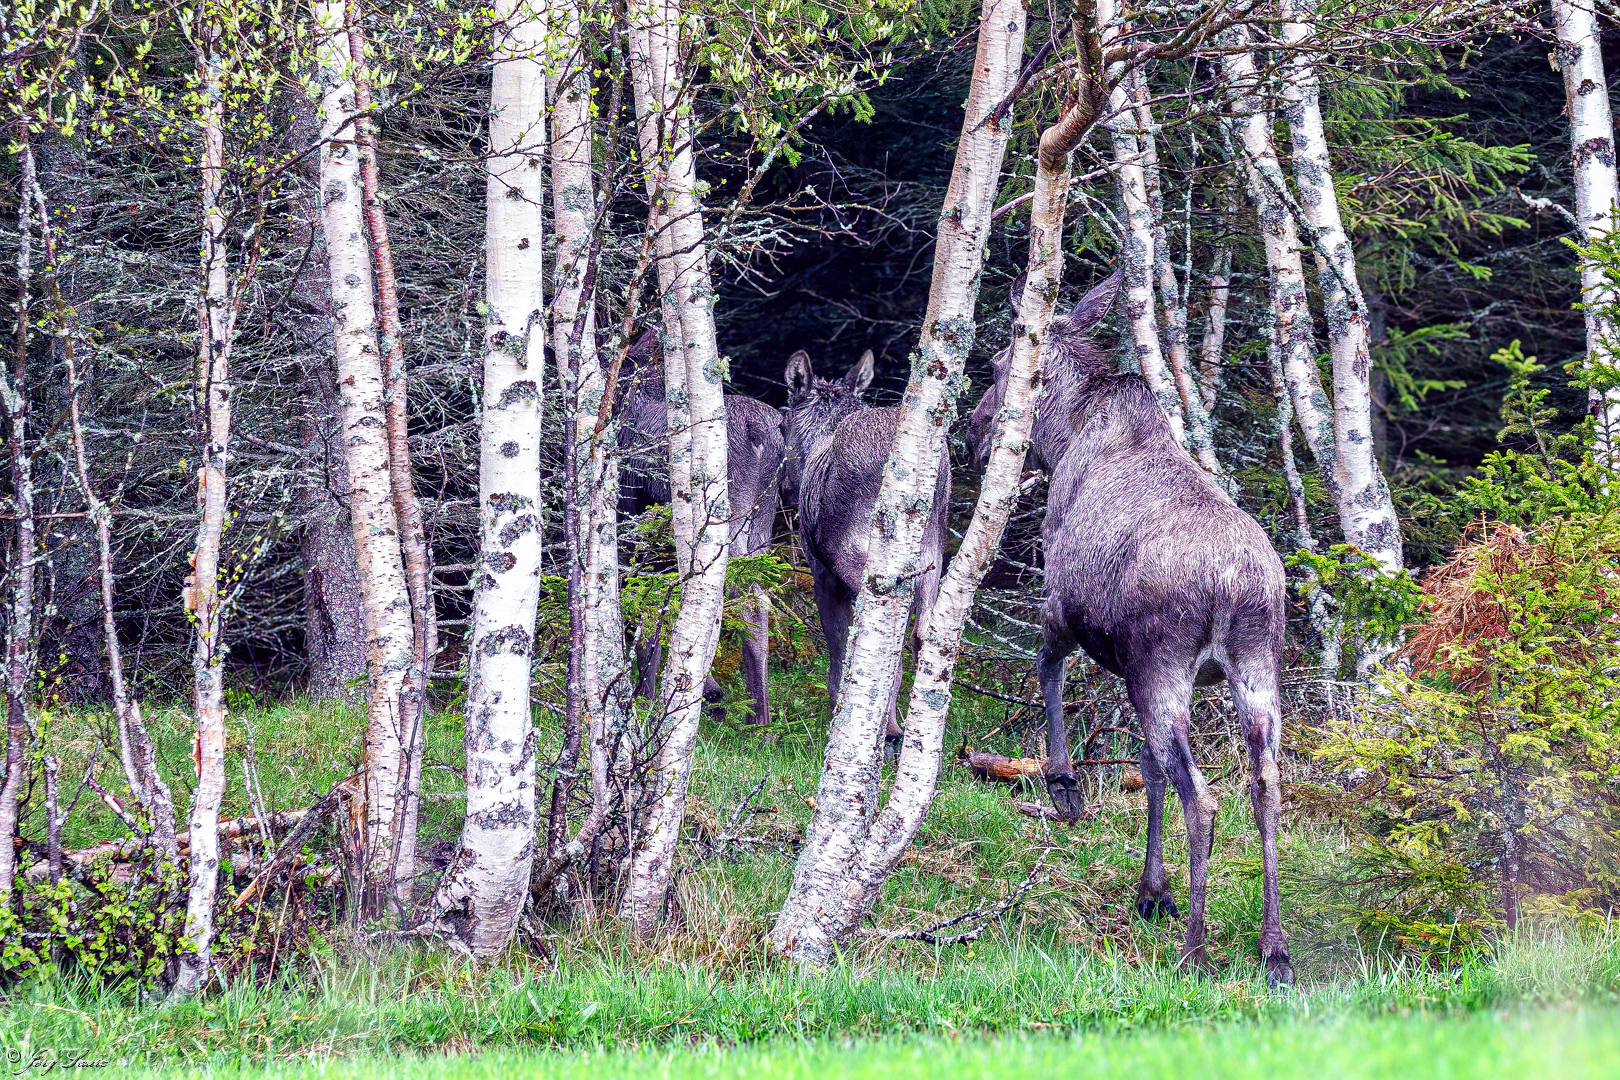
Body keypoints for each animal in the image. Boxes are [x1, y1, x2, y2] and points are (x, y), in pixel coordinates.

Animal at [616, 329, 785, 725]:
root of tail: (759, 433)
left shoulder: (632, 529)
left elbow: (649, 614)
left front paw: (646, 698)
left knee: (742, 602)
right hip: (759, 525)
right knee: (759, 600)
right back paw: (761, 716)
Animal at [782, 348, 948, 754]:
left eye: (782, 425)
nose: (784, 488)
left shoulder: (823, 572)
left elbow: (839, 649)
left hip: (866, 562)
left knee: (886, 645)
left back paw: (884, 731)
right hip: (933, 558)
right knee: (923, 637)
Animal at [965, 271, 1294, 988]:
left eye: (1000, 366)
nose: (973, 433)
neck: (1063, 435)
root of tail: (1233, 583)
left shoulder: (1062, 604)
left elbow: (1047, 673)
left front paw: (1064, 786)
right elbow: (1145, 767)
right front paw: (1152, 889)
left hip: (1161, 665)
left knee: (1204, 798)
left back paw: (1196, 951)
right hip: (1255, 666)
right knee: (1265, 787)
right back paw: (1274, 948)